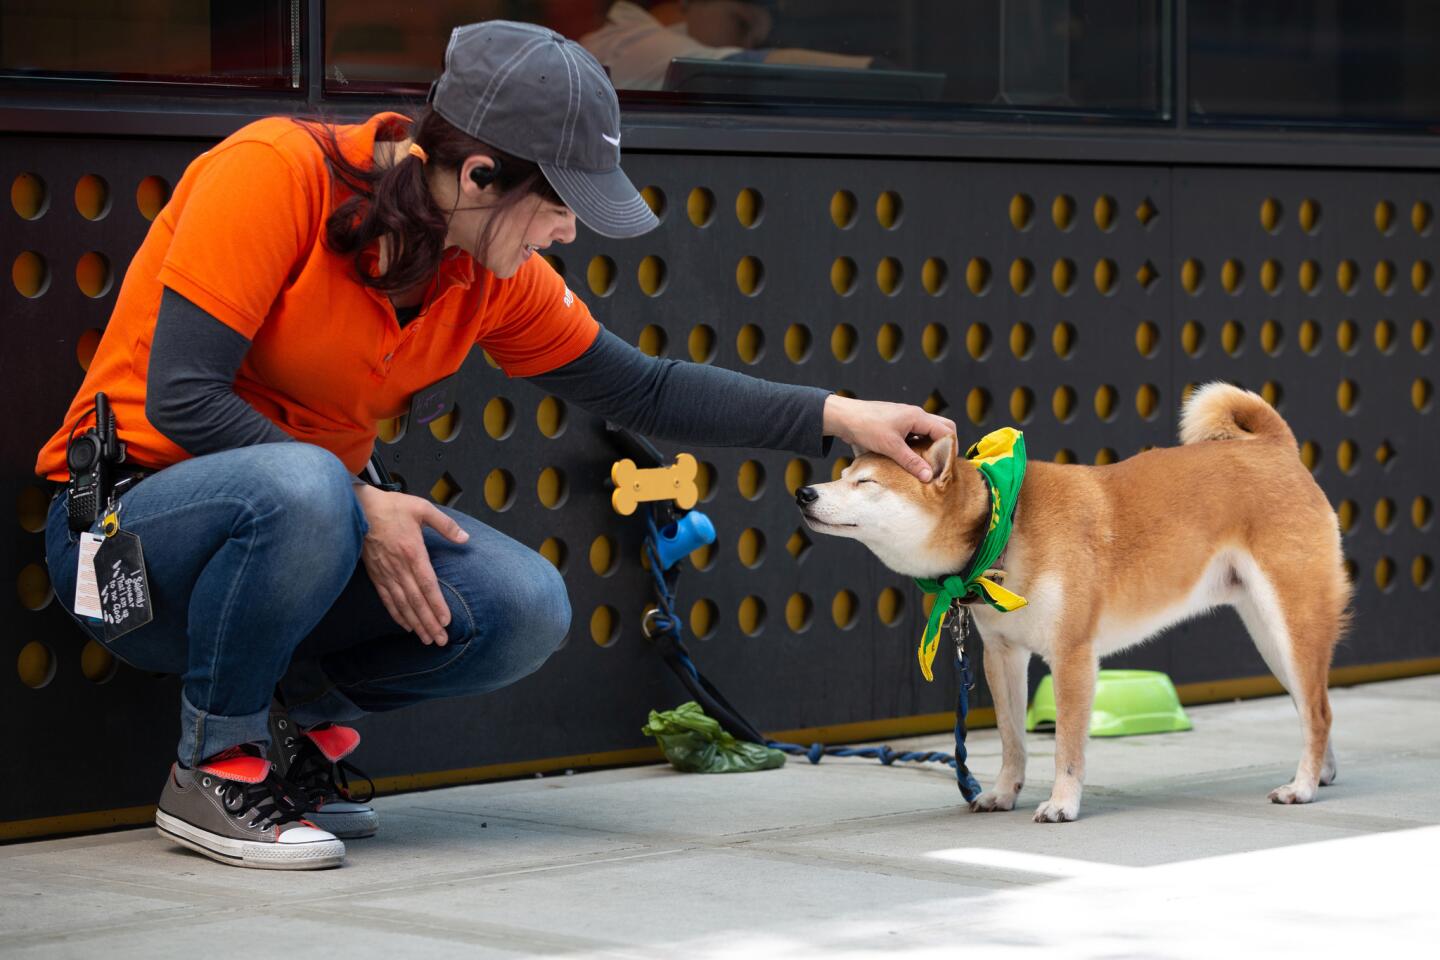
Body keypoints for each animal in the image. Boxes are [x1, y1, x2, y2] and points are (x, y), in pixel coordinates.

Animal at [800, 385, 1347, 823]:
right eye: (843, 473)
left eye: (865, 483)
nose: (805, 492)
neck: (1006, 527)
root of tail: (1274, 448)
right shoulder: (1002, 655)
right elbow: (1013, 740)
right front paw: (1003, 793)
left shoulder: (1072, 655)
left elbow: (1065, 744)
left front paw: (1062, 804)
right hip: (1271, 636)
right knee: (1313, 708)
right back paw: (1319, 774)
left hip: (1291, 622)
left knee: (1318, 710)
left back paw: (1301, 787)